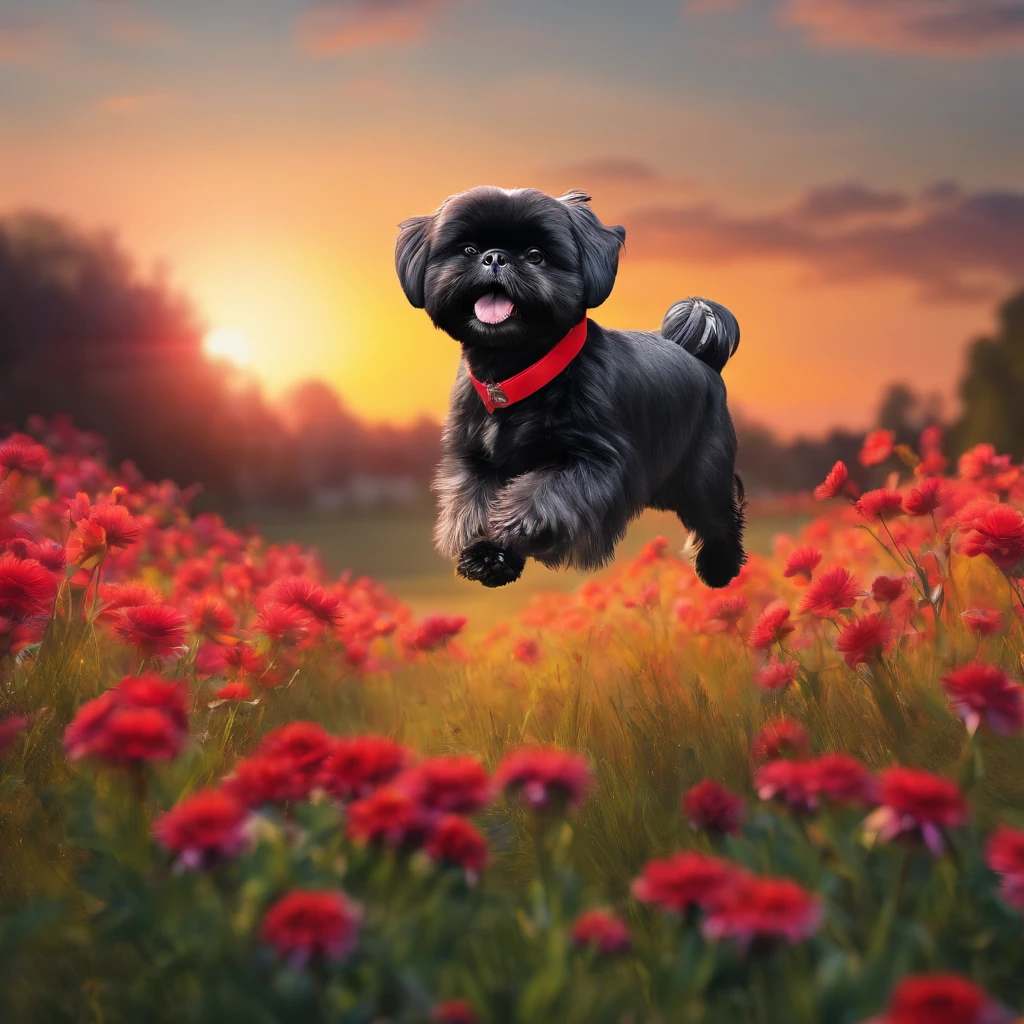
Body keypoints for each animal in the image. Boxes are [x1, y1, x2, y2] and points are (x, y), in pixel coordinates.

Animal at [391, 183, 745, 585]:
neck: (515, 372)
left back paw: (719, 569)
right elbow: (474, 506)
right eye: (468, 249)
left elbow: (542, 493)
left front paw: (513, 526)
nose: (495, 257)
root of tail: (703, 359)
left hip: (703, 476)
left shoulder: (595, 461)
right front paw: (489, 556)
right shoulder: (475, 462)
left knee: (719, 516)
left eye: (535, 256)